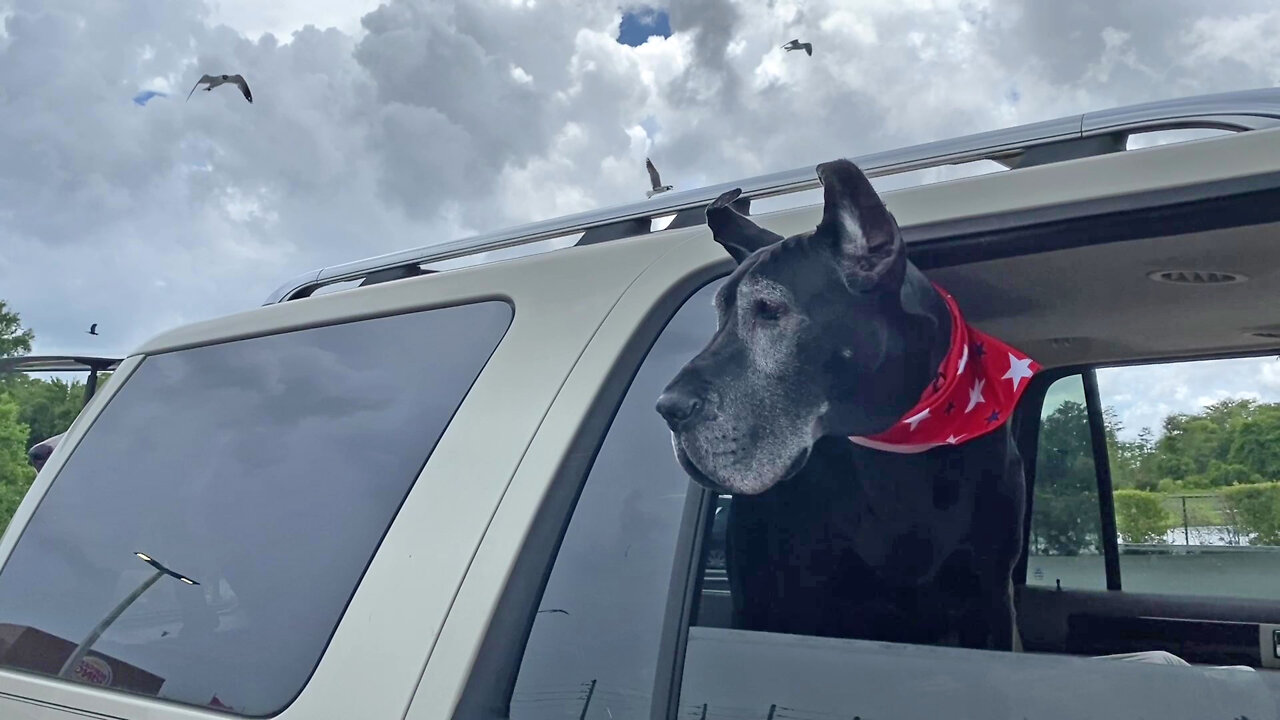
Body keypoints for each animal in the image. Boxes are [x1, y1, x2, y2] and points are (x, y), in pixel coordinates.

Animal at [655, 156, 1034, 650]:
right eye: (720, 315)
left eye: (770, 310)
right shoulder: (796, 604)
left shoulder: (988, 599)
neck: (905, 451)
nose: (667, 408)